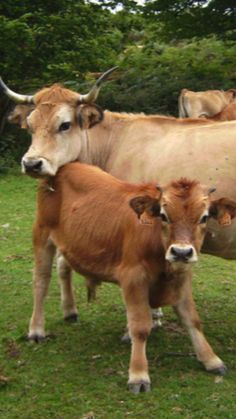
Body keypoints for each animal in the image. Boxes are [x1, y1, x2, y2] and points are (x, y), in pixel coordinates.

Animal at [30, 162, 235, 394]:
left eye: (204, 217)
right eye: (163, 215)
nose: (181, 252)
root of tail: (68, 166)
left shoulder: (182, 277)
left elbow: (192, 320)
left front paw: (211, 359)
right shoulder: (133, 278)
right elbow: (140, 326)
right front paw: (138, 374)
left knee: (63, 268)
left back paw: (70, 311)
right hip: (42, 234)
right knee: (41, 282)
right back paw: (36, 330)